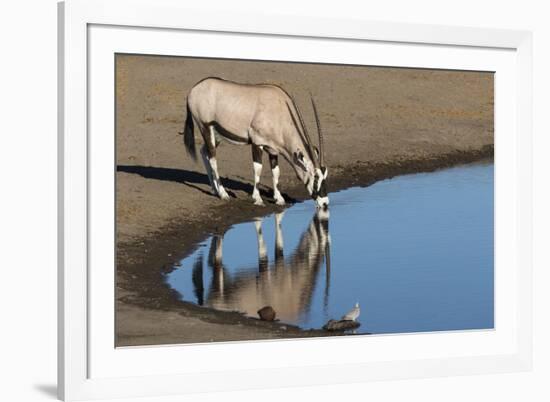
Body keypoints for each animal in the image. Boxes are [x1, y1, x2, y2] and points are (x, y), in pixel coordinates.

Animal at [181, 77, 330, 210]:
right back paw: (223, 194)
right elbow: (258, 169)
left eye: (325, 177)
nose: (325, 203)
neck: (279, 109)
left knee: (204, 152)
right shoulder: (257, 143)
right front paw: (257, 199)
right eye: (315, 178)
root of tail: (194, 89)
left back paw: (214, 189)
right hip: (205, 127)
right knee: (213, 159)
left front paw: (279, 199)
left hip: (216, 135)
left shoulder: (273, 149)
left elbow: (276, 172)